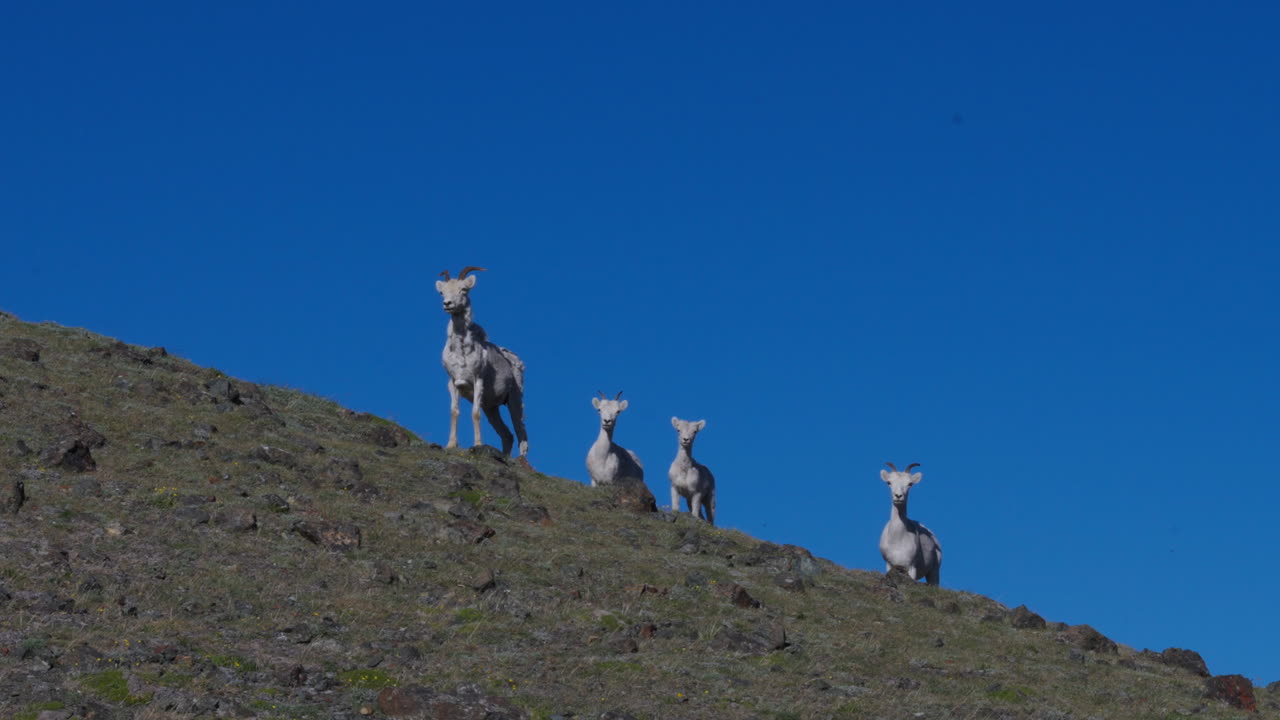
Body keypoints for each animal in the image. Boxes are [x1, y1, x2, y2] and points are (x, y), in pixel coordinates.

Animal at [435, 266, 528, 458]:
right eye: (442, 292)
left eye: (463, 289)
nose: (447, 304)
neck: (461, 353)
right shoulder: (453, 383)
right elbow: (454, 412)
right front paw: (451, 444)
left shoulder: (478, 381)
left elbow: (475, 414)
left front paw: (477, 444)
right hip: (492, 409)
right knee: (507, 435)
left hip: (514, 401)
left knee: (521, 432)